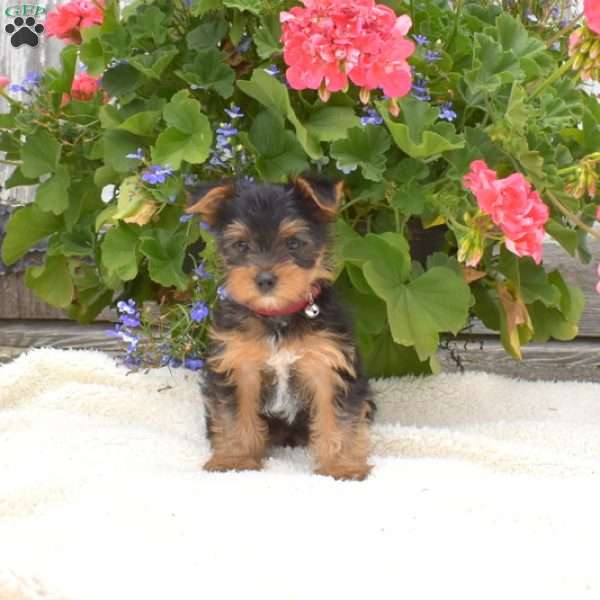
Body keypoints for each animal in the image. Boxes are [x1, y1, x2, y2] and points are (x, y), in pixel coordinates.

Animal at [186, 176, 376, 480]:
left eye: (294, 243)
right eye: (241, 245)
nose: (265, 279)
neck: (277, 317)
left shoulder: (328, 364)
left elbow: (340, 421)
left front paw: (341, 466)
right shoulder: (238, 365)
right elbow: (233, 417)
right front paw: (235, 459)